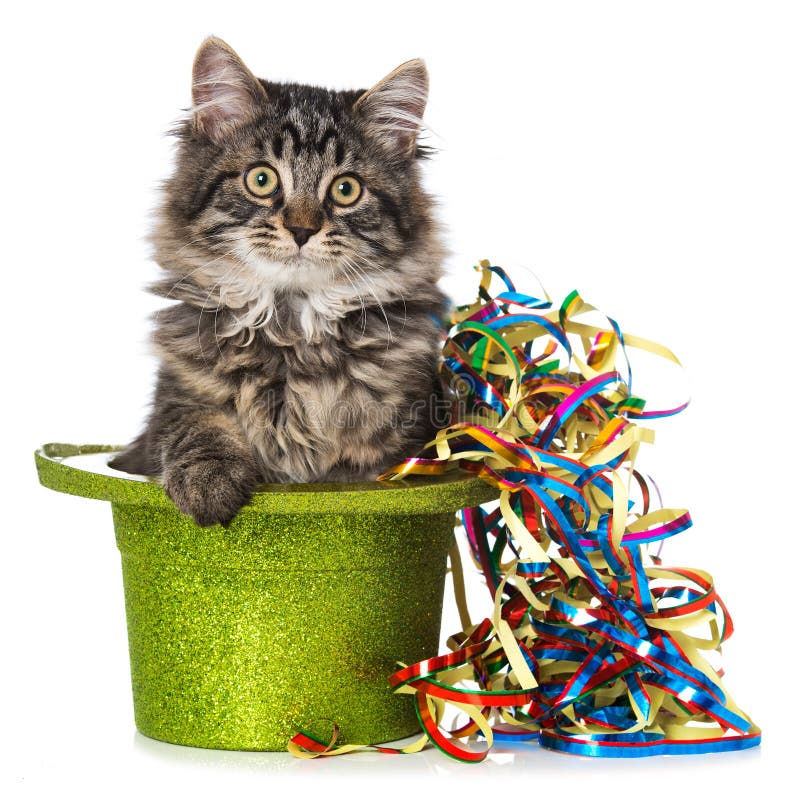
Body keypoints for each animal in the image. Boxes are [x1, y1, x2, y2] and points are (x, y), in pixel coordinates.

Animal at [110, 37, 450, 528]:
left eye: (346, 189)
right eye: (261, 179)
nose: (302, 230)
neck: (291, 328)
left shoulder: (406, 442)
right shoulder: (171, 404)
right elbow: (196, 427)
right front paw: (208, 483)